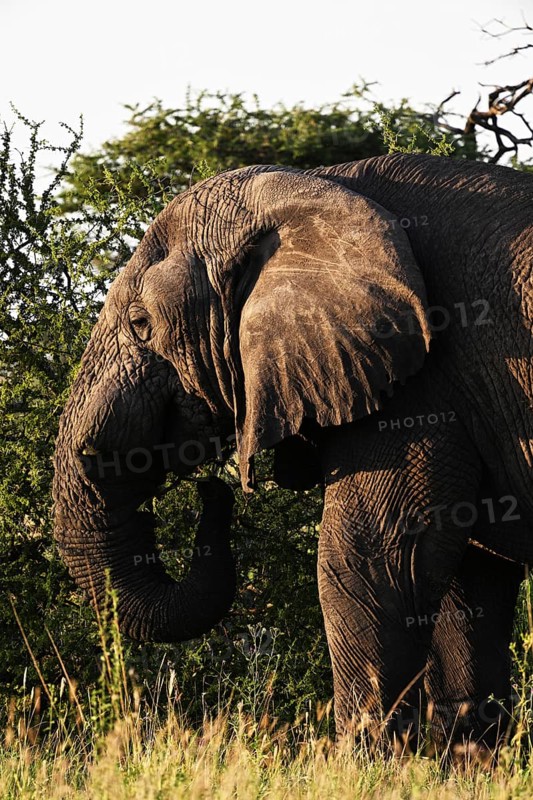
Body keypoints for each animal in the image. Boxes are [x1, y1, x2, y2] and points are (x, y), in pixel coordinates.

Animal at [53, 153, 532, 756]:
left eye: (141, 325)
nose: (214, 487)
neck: (315, 186)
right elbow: (468, 584)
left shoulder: (422, 386)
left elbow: (370, 560)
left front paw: (368, 767)